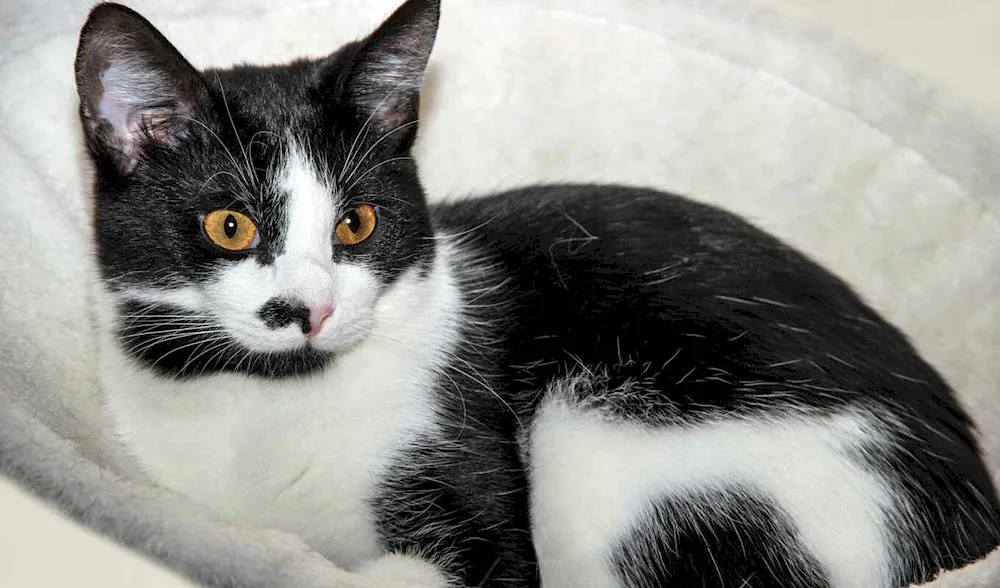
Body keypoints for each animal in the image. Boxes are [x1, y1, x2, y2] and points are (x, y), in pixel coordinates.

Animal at [76, 1, 1000, 588]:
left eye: (357, 223)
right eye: (230, 225)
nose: (312, 311)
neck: (267, 404)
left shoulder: (477, 497)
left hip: (613, 425)